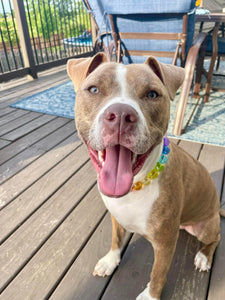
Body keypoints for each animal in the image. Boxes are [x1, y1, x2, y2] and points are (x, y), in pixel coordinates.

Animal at [67, 53, 221, 300]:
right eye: (94, 89)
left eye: (152, 94)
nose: (121, 115)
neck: (137, 184)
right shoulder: (116, 218)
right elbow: (115, 240)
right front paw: (110, 260)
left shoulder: (165, 244)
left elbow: (158, 274)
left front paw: (150, 295)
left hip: (205, 228)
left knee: (215, 238)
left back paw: (204, 257)